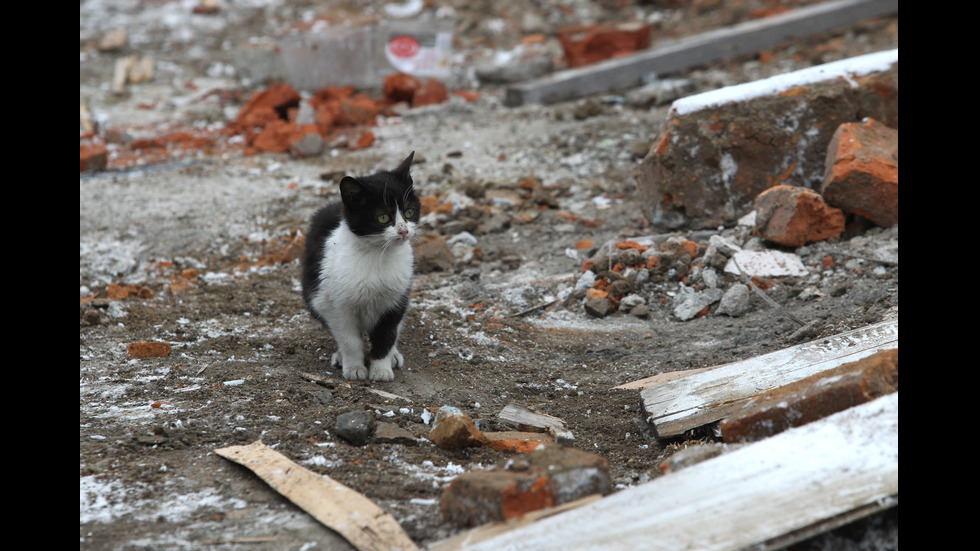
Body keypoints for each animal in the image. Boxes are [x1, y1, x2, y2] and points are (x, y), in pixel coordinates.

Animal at [300, 152, 420, 384]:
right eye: (383, 217)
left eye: (409, 212)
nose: (403, 231)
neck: (378, 255)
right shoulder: (334, 305)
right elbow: (349, 339)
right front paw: (355, 367)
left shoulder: (396, 301)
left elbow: (386, 335)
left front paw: (381, 369)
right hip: (313, 291)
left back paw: (393, 355)